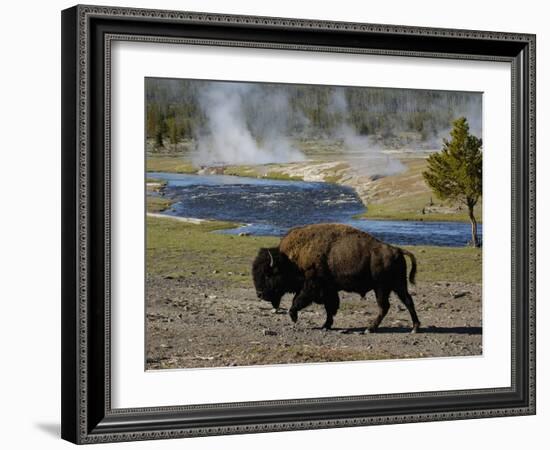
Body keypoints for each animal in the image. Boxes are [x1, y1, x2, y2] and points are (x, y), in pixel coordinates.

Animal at [254, 222, 422, 332]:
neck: (289, 260)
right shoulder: (329, 290)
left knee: (385, 306)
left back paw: (370, 328)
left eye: (268, 274)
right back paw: (414, 327)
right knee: (408, 301)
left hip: (381, 288)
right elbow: (330, 307)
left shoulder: (312, 286)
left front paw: (294, 317)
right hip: (398, 285)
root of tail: (397, 250)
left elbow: (298, 300)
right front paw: (326, 325)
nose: (259, 294)